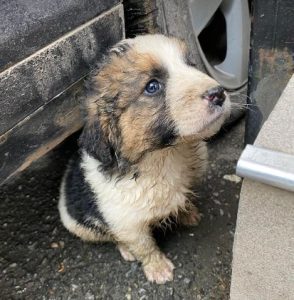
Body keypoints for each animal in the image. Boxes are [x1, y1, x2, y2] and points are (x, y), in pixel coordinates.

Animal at [58, 34, 231, 284]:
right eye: (152, 86)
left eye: (191, 64)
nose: (218, 93)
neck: (165, 154)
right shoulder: (127, 222)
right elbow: (144, 246)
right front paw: (157, 268)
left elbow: (185, 199)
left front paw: (188, 213)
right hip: (81, 226)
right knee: (113, 238)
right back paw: (125, 250)